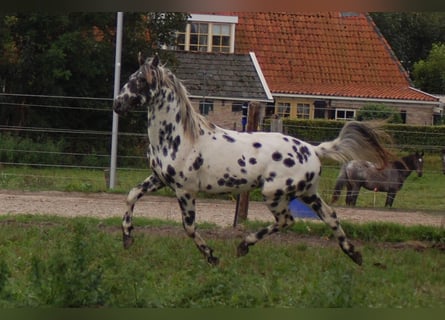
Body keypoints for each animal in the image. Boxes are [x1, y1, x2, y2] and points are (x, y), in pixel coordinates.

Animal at [112, 53, 390, 266]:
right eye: (131, 78)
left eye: (141, 81)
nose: (117, 104)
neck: (178, 137)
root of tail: (313, 150)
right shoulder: (158, 178)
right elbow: (131, 195)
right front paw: (127, 237)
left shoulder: (185, 190)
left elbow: (189, 227)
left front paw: (212, 257)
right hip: (308, 193)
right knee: (331, 216)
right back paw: (354, 255)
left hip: (274, 193)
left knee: (287, 220)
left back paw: (244, 245)